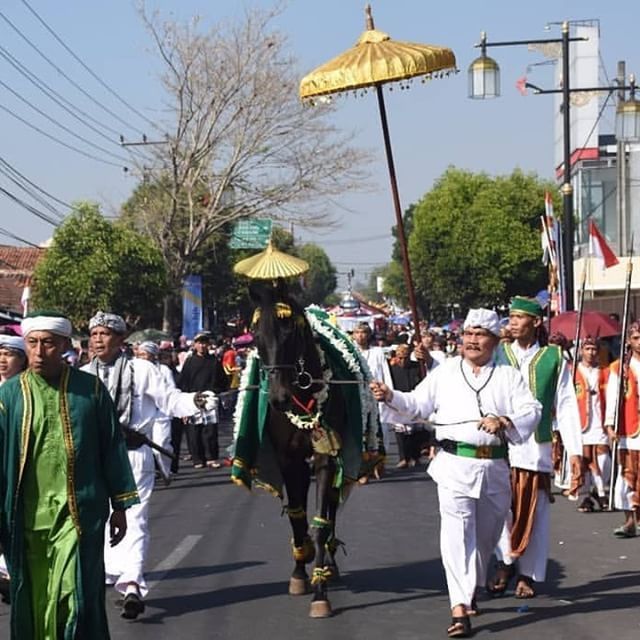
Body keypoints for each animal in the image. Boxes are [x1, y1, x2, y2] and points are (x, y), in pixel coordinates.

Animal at [246, 282, 350, 620]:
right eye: (255, 334)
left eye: (290, 331)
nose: (279, 398)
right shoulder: (288, 460)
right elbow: (297, 518)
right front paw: (299, 574)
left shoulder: (325, 456)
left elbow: (318, 523)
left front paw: (320, 593)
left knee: (331, 508)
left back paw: (329, 562)